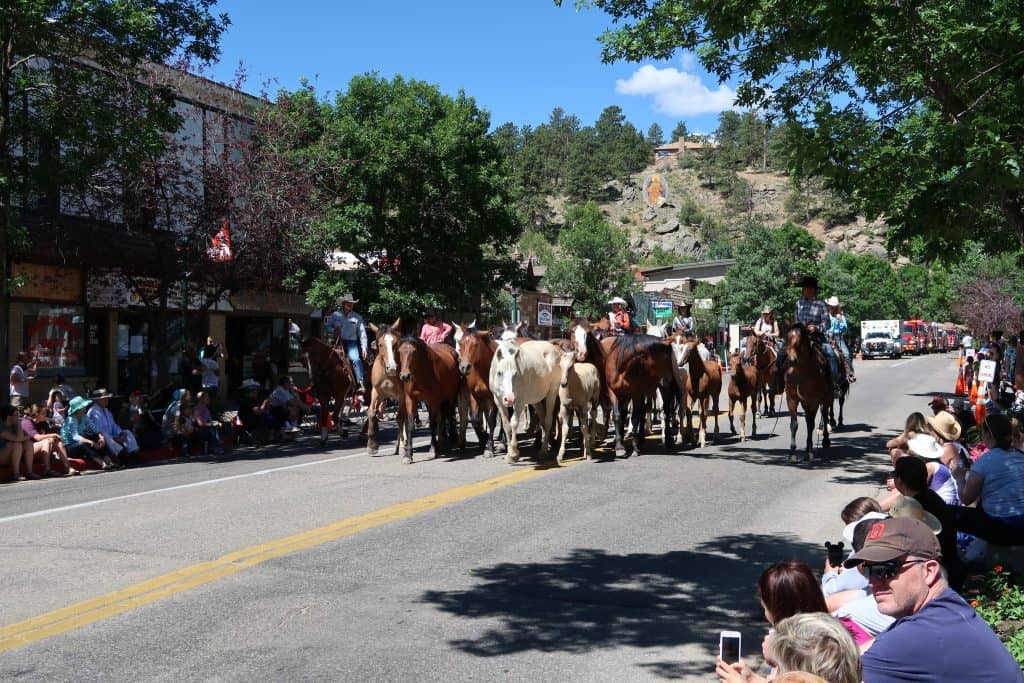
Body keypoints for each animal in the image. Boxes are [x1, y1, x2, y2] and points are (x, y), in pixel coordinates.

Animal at [362, 321, 405, 458]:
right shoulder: (377, 392)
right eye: (380, 344)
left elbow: (401, 417)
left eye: (395, 343)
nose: (392, 368)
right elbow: (371, 412)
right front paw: (372, 446)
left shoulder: (402, 395)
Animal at [458, 325, 501, 458]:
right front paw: (484, 439)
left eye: (475, 344)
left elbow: (492, 421)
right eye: (460, 343)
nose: (464, 367)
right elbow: (476, 420)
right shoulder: (474, 396)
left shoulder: (494, 398)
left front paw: (489, 448)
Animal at [782, 325, 831, 462]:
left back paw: (825, 440)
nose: (791, 360)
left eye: (799, 340)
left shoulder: (813, 401)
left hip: (826, 399)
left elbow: (810, 425)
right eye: (787, 338)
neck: (801, 372)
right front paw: (792, 452)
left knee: (824, 416)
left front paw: (809, 452)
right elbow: (794, 424)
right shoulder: (792, 399)